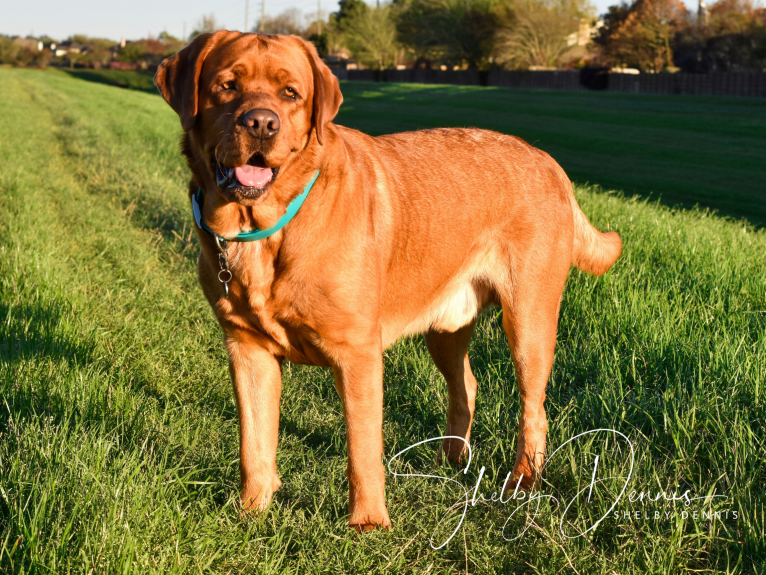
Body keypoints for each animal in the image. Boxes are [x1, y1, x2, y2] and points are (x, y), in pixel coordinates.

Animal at [153, 30, 620, 532]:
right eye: (227, 86)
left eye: (290, 93)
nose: (261, 123)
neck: (265, 229)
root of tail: (549, 161)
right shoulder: (247, 349)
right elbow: (253, 443)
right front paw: (252, 511)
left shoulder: (357, 352)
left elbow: (362, 449)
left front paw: (368, 523)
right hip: (446, 327)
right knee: (467, 385)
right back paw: (451, 460)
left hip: (529, 320)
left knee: (535, 409)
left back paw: (522, 480)